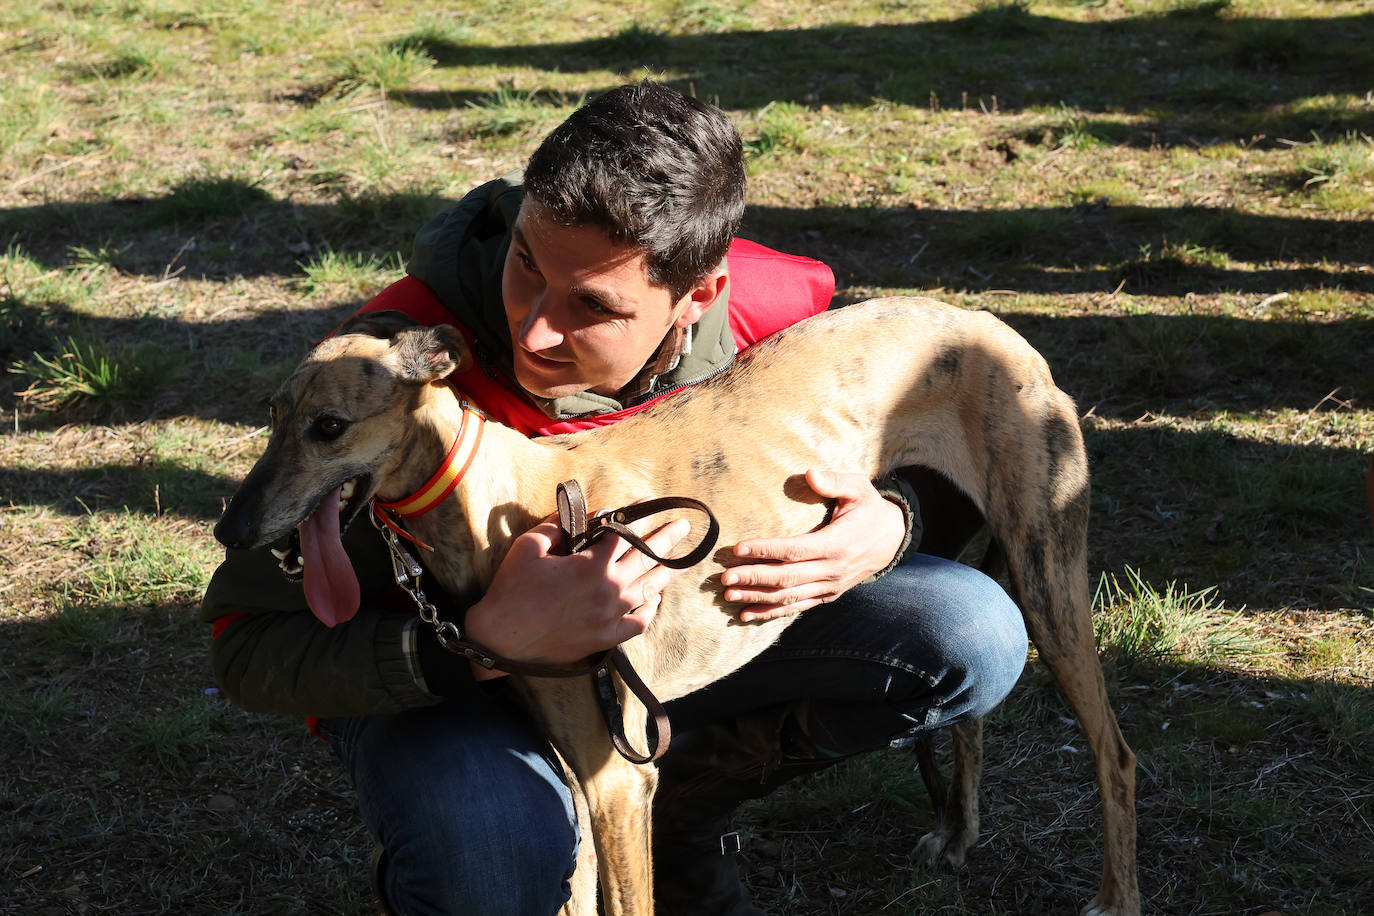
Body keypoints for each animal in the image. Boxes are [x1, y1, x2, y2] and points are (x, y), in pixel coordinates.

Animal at [211, 299, 1137, 916]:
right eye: (273, 416)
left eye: (329, 426)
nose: (231, 529)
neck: (500, 495)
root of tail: (991, 324)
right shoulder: (585, 769)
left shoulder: (618, 777)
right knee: (977, 719)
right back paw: (957, 836)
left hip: (1049, 574)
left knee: (1116, 755)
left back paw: (1115, 895)